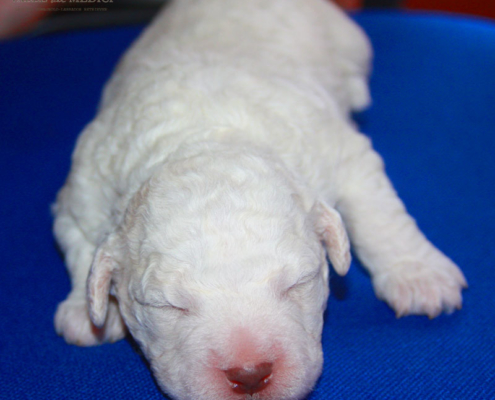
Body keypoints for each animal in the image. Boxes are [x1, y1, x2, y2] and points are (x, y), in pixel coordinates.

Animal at [54, 1, 468, 398]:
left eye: (297, 283)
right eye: (169, 306)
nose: (250, 374)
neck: (205, 138)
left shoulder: (341, 155)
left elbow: (378, 214)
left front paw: (421, 277)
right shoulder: (84, 188)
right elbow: (82, 244)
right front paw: (86, 312)